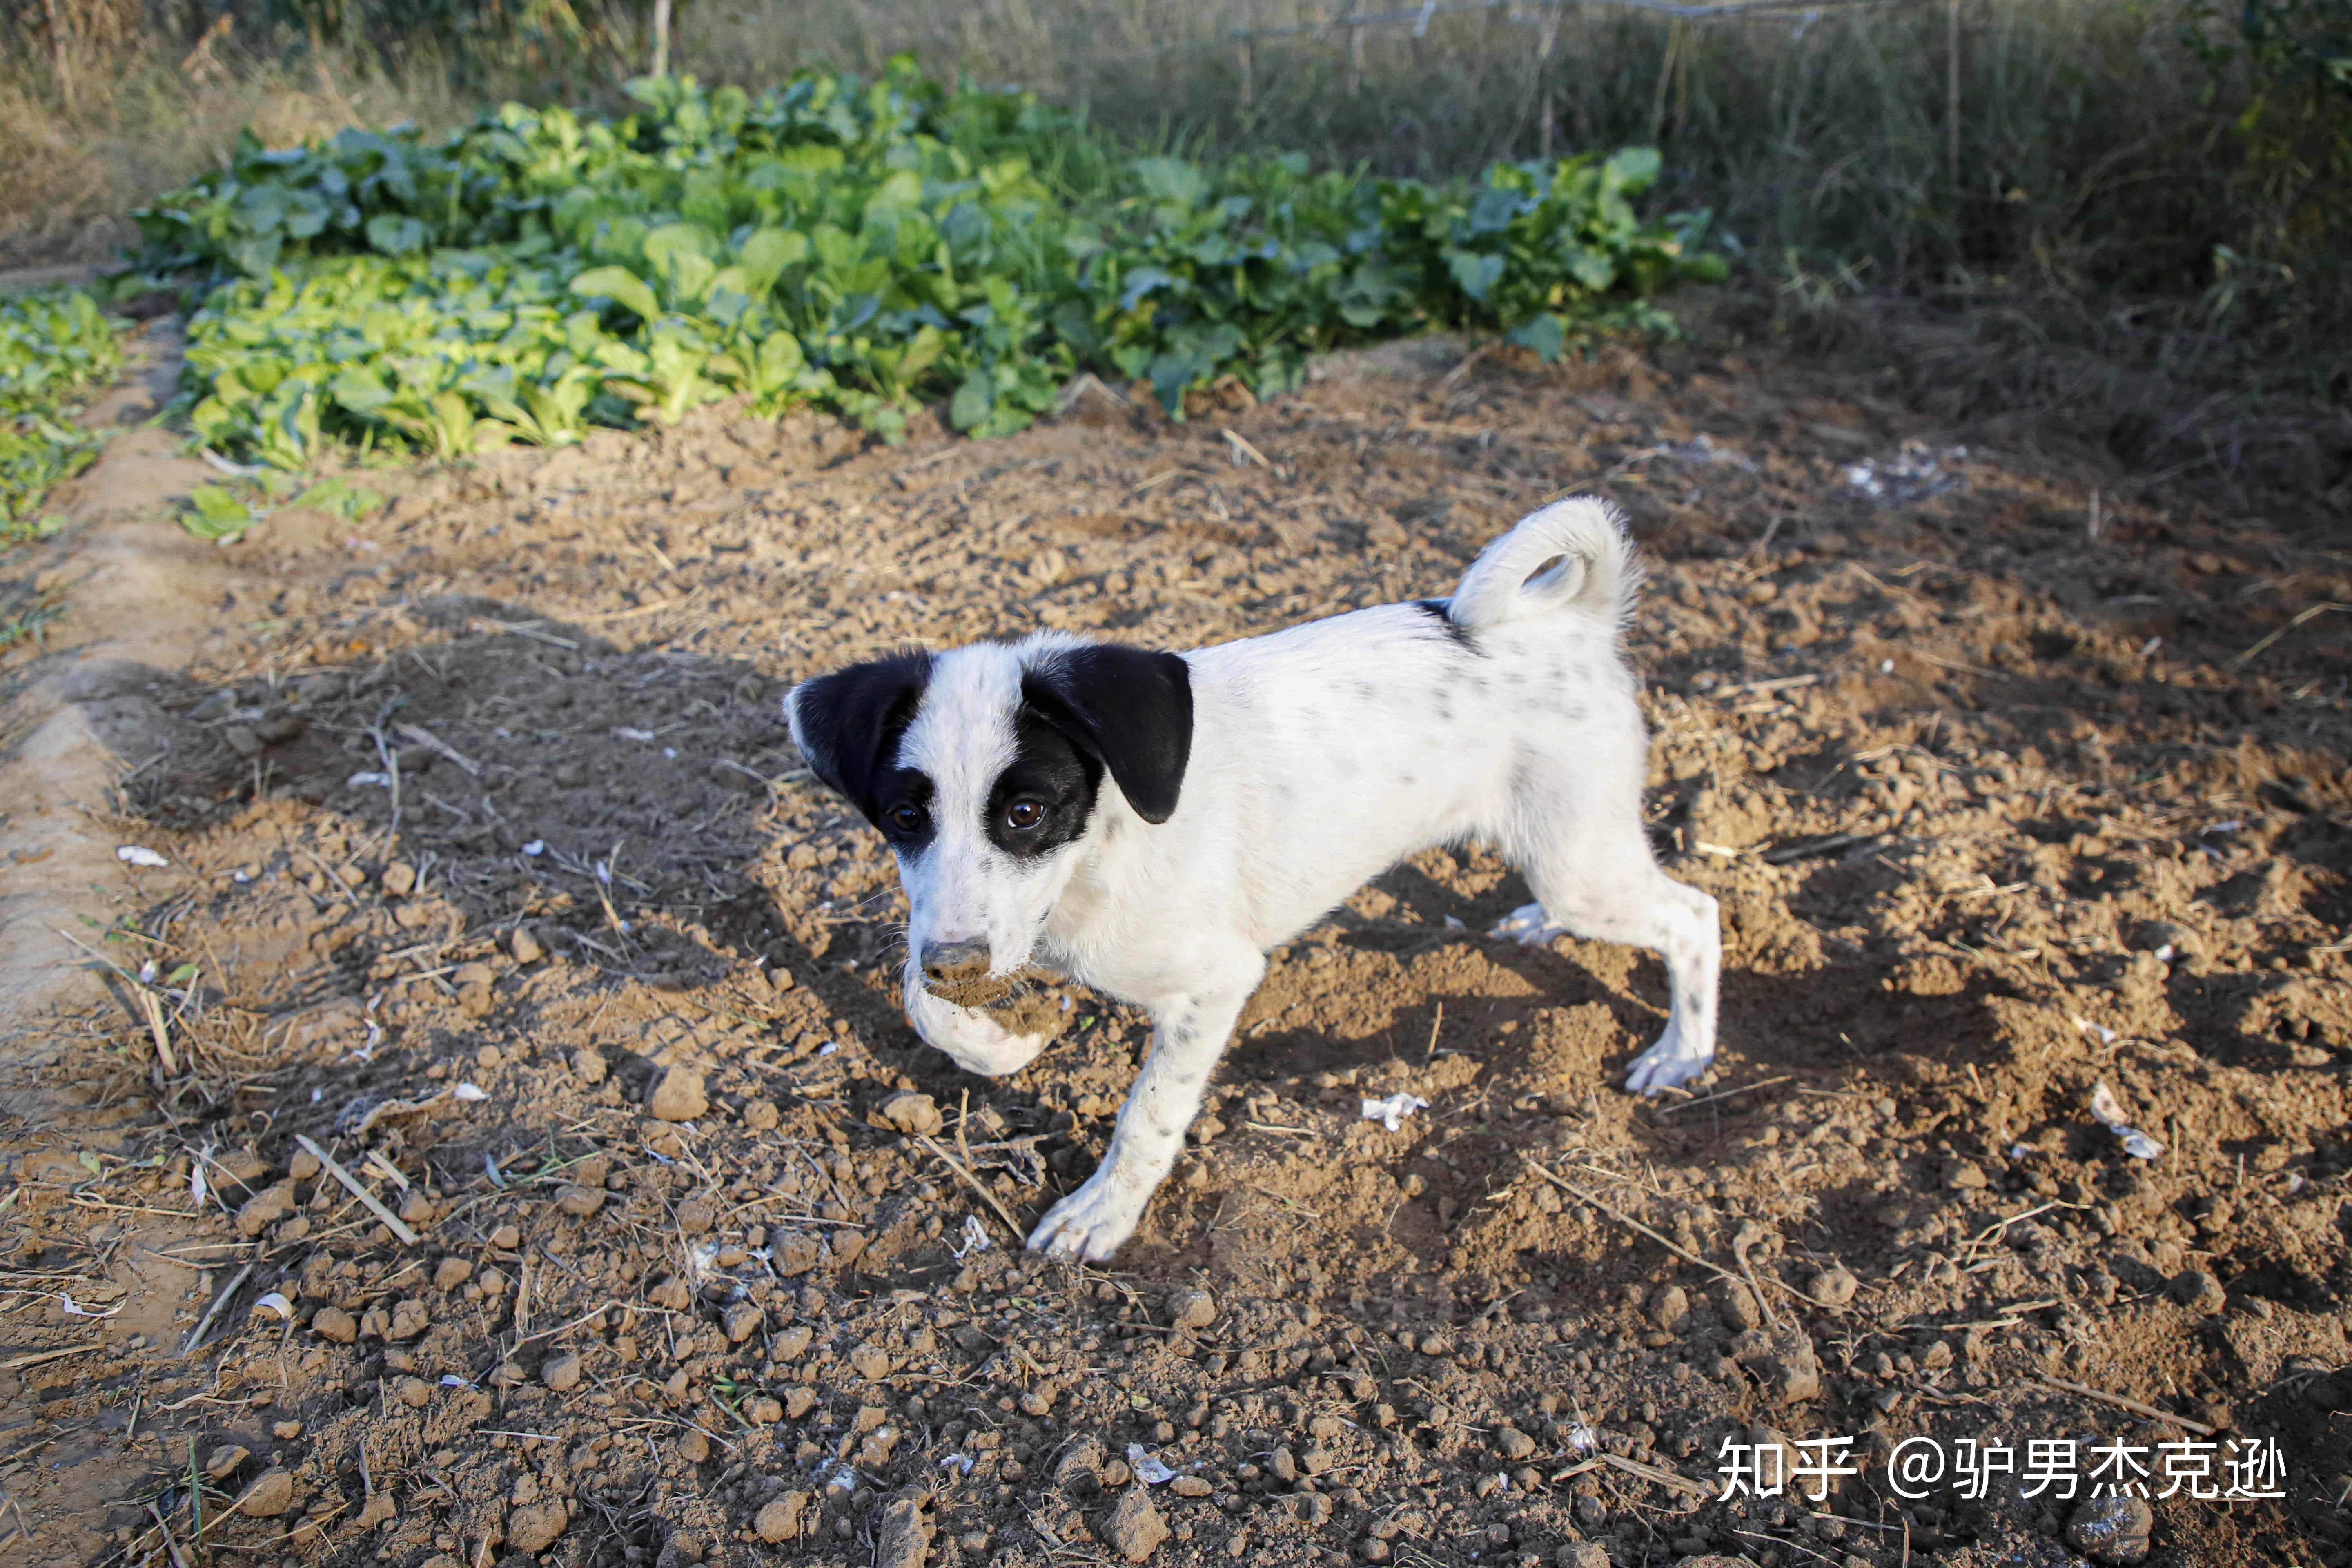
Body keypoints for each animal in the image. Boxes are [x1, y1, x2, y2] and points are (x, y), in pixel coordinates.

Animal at [781, 501, 1722, 1260]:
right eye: (906, 817)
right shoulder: (972, 931)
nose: (961, 966)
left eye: (1025, 812)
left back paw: (1681, 1054)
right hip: (1563, 849)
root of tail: (1569, 623)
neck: (1102, 848)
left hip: (1578, 860)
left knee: (1695, 914)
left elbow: (1148, 1114)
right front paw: (1005, 1045)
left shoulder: (1216, 981)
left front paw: (1100, 1215)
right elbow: (919, 995)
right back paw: (1536, 927)